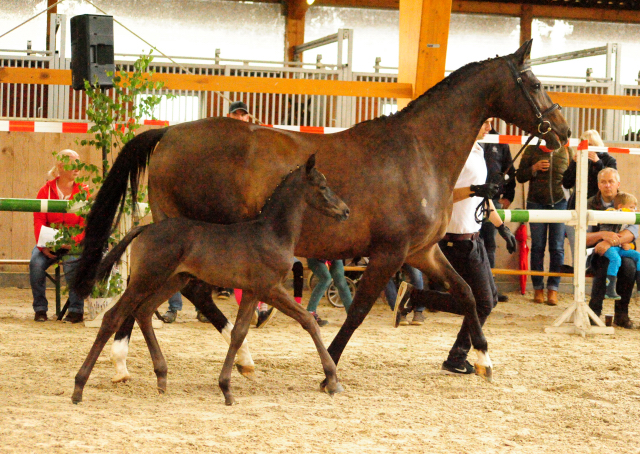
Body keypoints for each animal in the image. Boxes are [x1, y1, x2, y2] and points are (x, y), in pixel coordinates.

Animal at [72, 156, 348, 404]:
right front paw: (332, 380)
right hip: (147, 278)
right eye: (322, 186)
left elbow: (245, 331)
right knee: (113, 317)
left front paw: (227, 386)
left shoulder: (253, 291)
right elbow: (299, 323)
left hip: (174, 280)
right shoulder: (268, 288)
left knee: (144, 311)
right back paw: (79, 386)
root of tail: (145, 227)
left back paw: (161, 377)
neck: (272, 233)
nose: (345, 210)